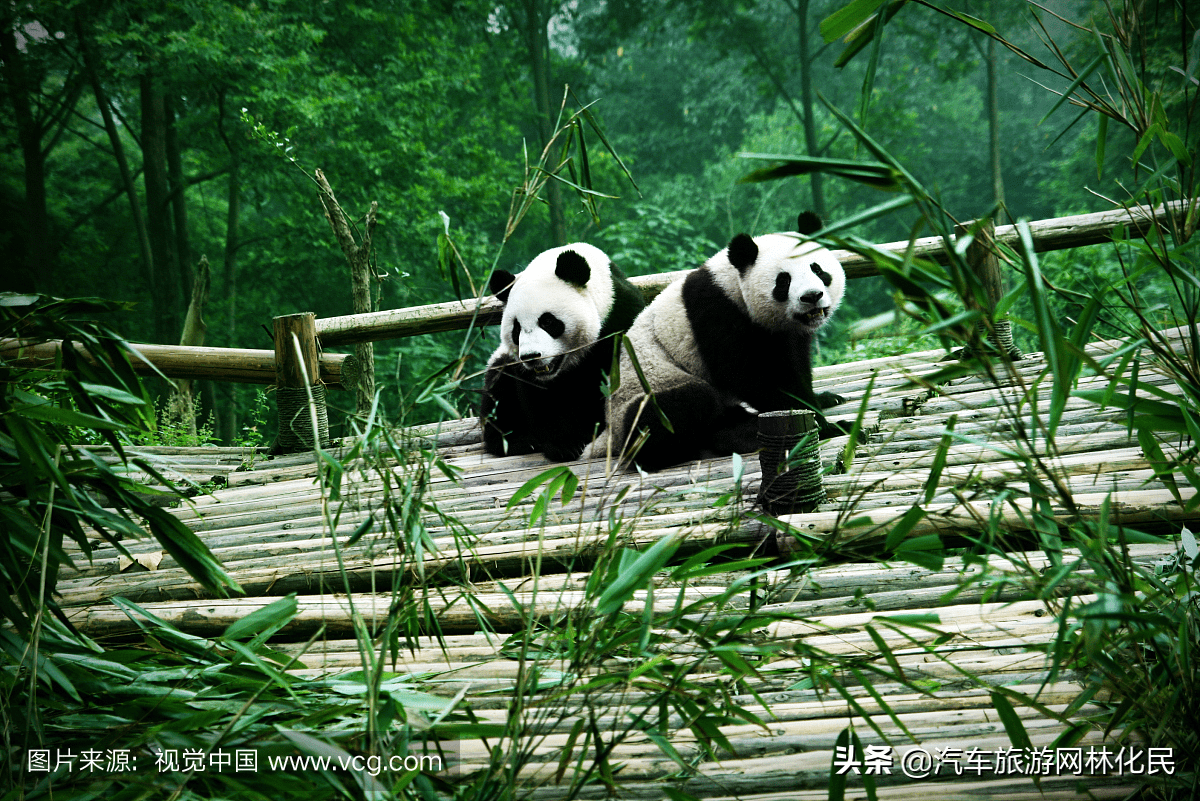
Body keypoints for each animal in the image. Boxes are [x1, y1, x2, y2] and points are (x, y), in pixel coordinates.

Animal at [480, 241, 648, 460]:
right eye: (516, 329)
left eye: (548, 321)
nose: (531, 357)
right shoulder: (524, 369)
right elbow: (539, 400)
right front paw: (563, 444)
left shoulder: (620, 315)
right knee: (499, 390)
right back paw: (516, 441)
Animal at [578, 212, 844, 472]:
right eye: (783, 281)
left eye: (817, 269)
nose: (812, 296)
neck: (733, 284)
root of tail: (608, 434)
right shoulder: (717, 312)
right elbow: (752, 377)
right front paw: (824, 425)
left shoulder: (788, 333)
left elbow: (796, 364)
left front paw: (822, 399)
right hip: (643, 390)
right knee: (679, 407)